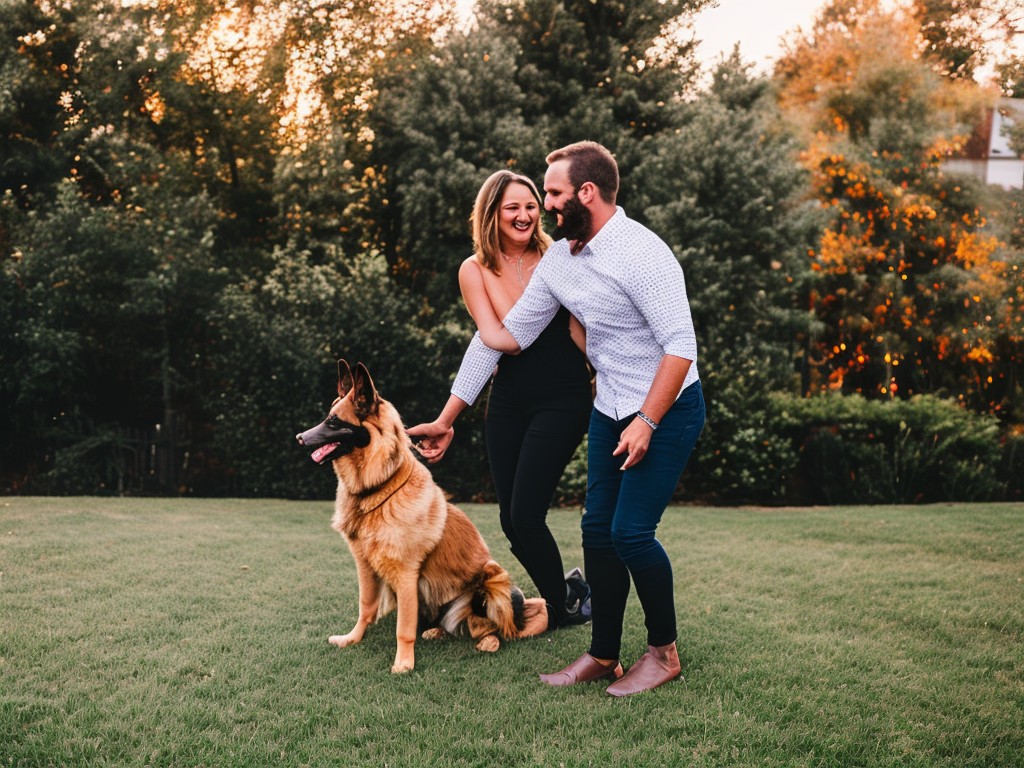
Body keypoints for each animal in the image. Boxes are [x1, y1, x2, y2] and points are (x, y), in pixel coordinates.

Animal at [299, 360, 552, 671]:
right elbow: (366, 607)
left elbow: (404, 627)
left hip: (495, 582)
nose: (299, 438)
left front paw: (404, 663)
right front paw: (353, 639)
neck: (379, 488)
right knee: (457, 624)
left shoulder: (406, 574)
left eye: (334, 422)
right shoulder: (365, 566)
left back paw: (489, 641)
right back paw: (436, 631)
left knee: (497, 627)